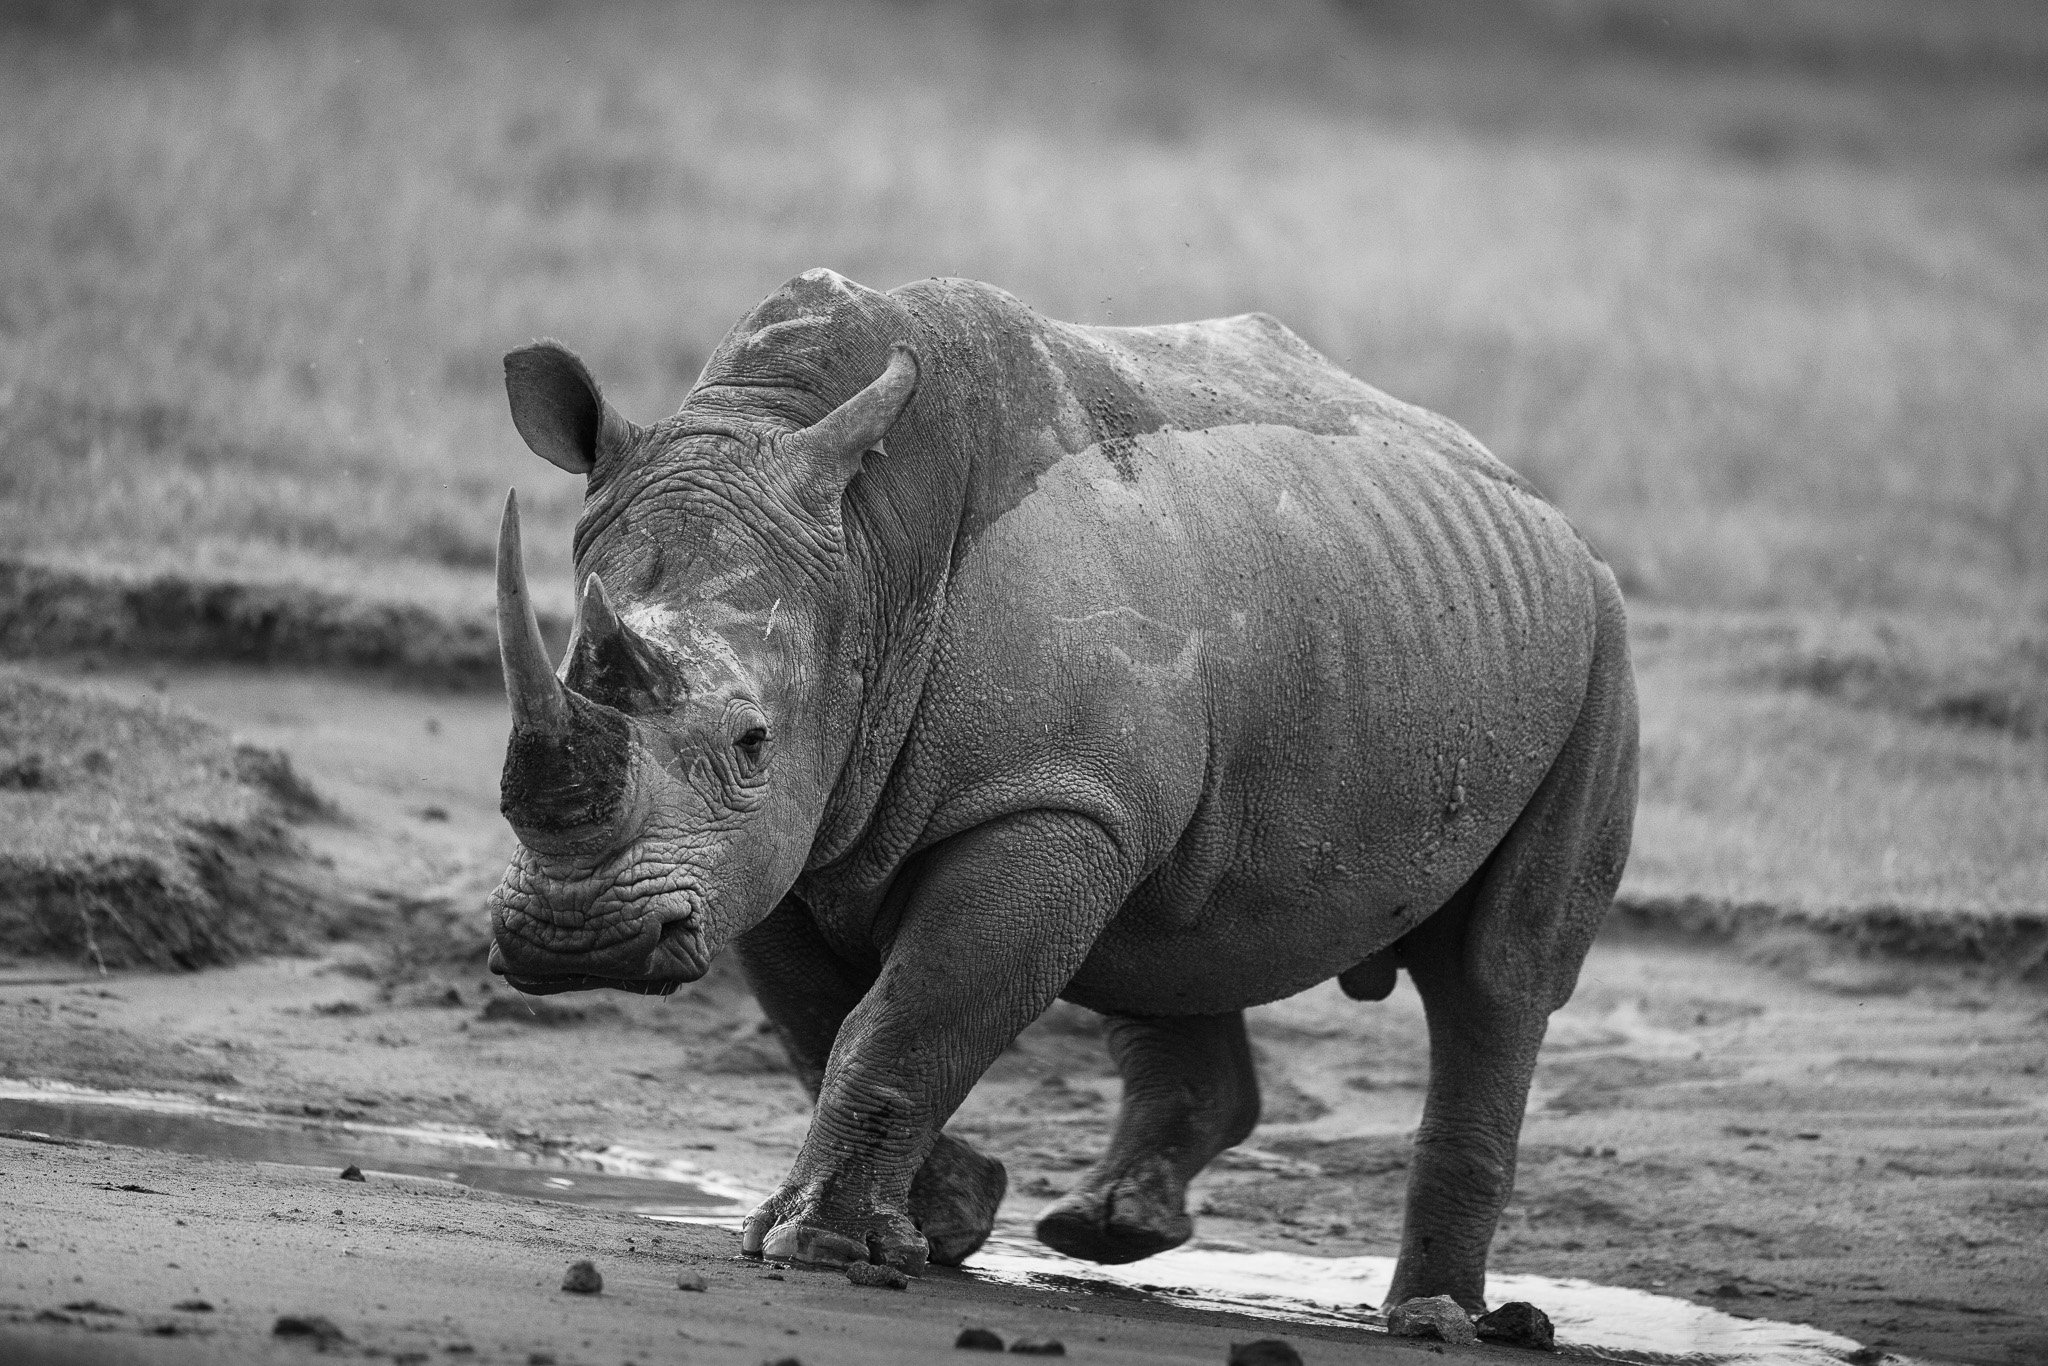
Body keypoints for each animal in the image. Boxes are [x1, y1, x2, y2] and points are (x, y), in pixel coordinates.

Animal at [485, 269, 1637, 1310]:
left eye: (751, 740)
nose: (574, 937)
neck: (866, 555)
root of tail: (1545, 511)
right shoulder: (778, 837)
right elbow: (819, 1017)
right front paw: (944, 1219)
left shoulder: (1043, 797)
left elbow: (909, 1010)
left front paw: (820, 1245)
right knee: (1166, 925)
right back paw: (1108, 1229)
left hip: (1597, 651)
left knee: (1497, 976)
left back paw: (1434, 1313)